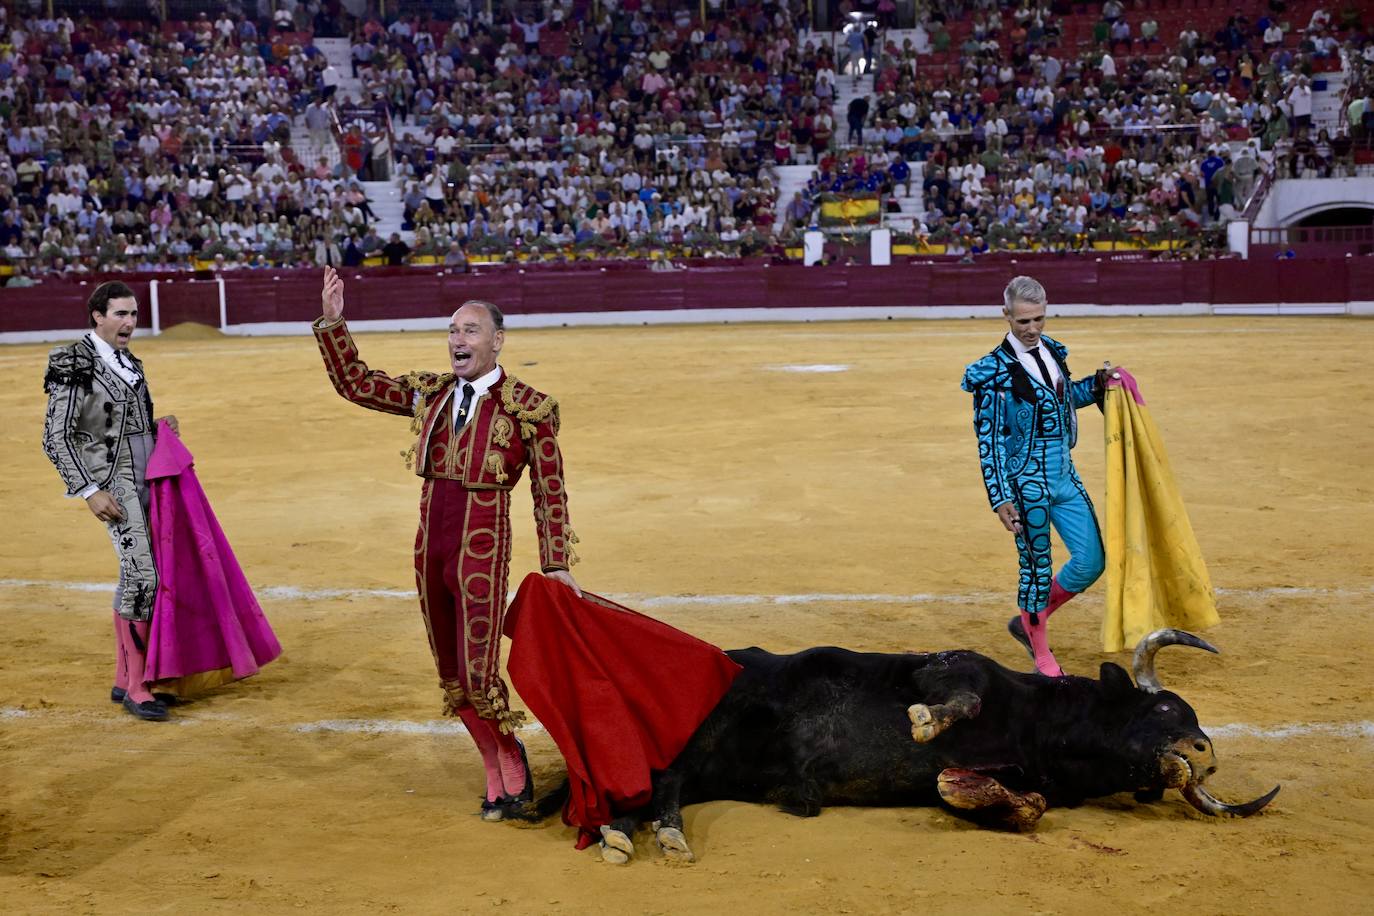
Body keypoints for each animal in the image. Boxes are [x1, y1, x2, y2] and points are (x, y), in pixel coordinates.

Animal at [579, 626, 1275, 862]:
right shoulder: (953, 669)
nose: (1207, 754)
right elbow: (956, 699)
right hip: (707, 728)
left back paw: (632, 834)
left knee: (654, 786)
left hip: (719, 765)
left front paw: (961, 788)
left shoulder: (1027, 773)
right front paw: (922, 724)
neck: (1042, 726)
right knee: (662, 777)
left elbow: (1027, 805)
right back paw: (657, 836)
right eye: (1165, 707)